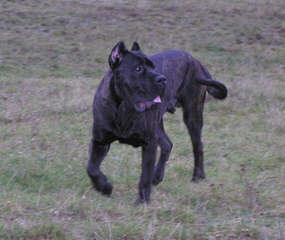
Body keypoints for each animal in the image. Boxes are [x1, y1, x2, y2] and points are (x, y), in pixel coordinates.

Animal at [86, 41, 226, 204]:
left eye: (153, 67)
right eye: (138, 69)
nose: (162, 79)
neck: (123, 108)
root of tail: (195, 60)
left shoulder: (149, 143)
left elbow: (144, 176)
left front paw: (142, 202)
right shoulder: (100, 141)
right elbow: (92, 168)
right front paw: (104, 187)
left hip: (192, 115)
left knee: (198, 146)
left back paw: (198, 176)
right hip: (158, 125)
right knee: (167, 144)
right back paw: (157, 176)